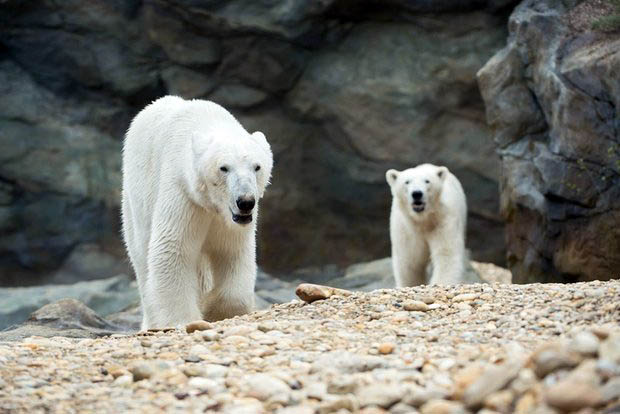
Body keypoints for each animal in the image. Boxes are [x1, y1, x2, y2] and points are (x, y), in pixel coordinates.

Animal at [122, 95, 272, 328]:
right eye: (223, 168)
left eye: (257, 166)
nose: (245, 202)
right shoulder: (184, 194)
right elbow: (173, 247)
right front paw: (182, 319)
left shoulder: (229, 221)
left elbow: (232, 251)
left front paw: (211, 308)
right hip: (135, 199)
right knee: (141, 254)